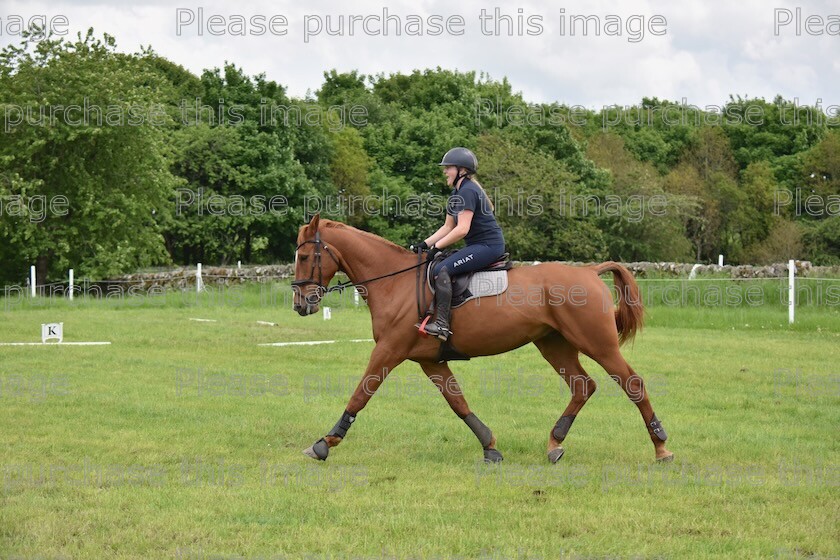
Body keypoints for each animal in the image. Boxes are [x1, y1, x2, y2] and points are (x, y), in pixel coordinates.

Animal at [292, 214, 672, 464]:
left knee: (632, 384)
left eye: (305, 256)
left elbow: (361, 394)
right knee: (582, 386)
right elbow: (458, 403)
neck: (394, 282)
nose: (300, 304)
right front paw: (490, 446)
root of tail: (589, 272)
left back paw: (662, 448)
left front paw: (325, 442)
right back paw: (555, 444)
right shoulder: (430, 360)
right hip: (553, 343)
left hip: (597, 343)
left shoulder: (389, 350)